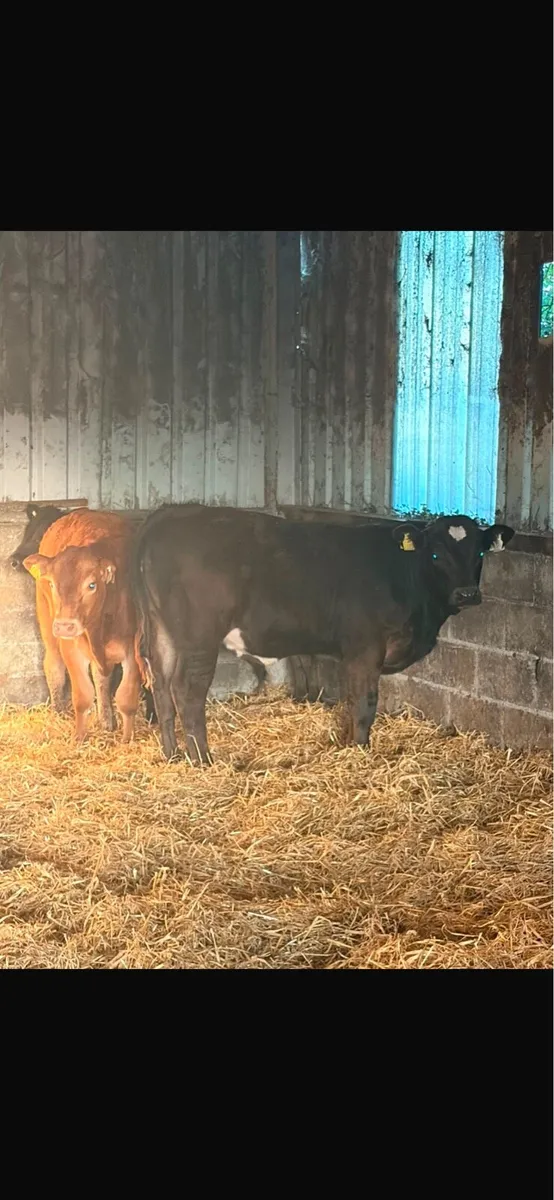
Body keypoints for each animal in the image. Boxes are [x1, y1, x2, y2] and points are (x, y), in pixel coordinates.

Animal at [9, 502, 158, 725]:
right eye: (27, 531)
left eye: (91, 585)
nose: (14, 560)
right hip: (46, 618)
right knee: (53, 664)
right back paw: (58, 711)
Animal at [131, 505, 514, 764]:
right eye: (435, 553)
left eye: (480, 551)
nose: (467, 593)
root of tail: (170, 513)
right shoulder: (365, 647)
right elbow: (365, 703)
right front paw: (360, 751)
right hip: (199, 637)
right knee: (187, 691)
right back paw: (202, 759)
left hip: (162, 630)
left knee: (160, 685)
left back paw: (172, 754)